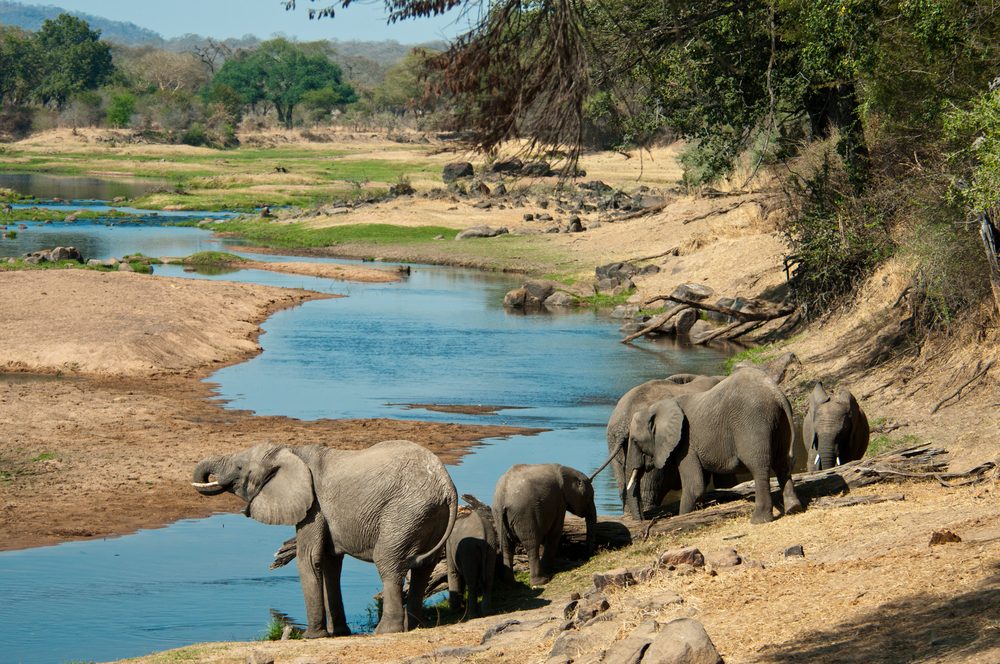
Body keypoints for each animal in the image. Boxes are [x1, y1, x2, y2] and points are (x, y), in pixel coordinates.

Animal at [190, 438, 458, 636]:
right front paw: (338, 633)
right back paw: (415, 626)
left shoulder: (314, 506)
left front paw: (313, 636)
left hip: (405, 512)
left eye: (239, 468)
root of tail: (447, 486)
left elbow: (310, 559)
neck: (291, 451)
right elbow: (330, 563)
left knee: (388, 563)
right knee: (423, 568)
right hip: (427, 516)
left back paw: (385, 631)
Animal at [624, 368, 804, 524]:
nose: (644, 521)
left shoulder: (686, 444)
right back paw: (794, 509)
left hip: (753, 422)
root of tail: (777, 394)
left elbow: (694, 486)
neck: (658, 406)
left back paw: (759, 521)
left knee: (759, 467)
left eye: (635, 441)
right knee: (782, 463)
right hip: (781, 423)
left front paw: (682, 517)